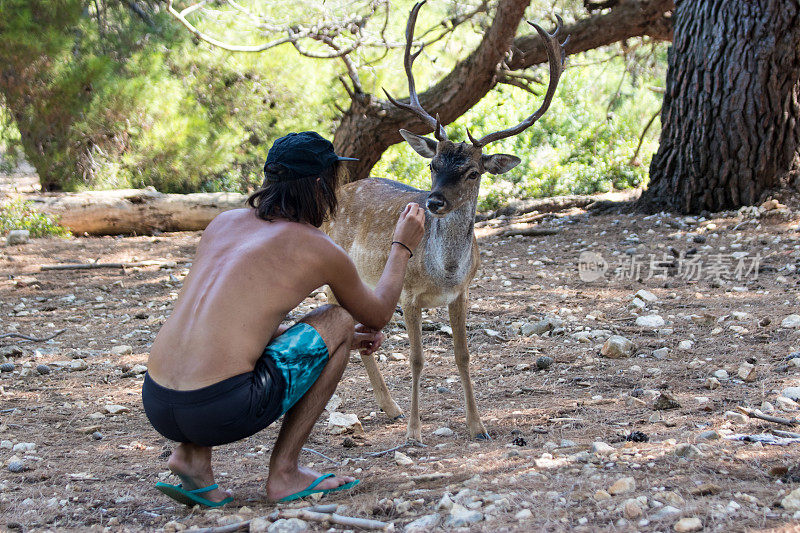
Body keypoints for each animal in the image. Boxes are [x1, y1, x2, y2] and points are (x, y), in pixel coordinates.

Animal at [322, 0, 564, 440]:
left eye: (472, 172)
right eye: (433, 165)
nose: (433, 201)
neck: (444, 271)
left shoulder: (464, 293)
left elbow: (463, 355)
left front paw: (477, 425)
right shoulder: (407, 295)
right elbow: (417, 359)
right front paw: (414, 432)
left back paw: (390, 408)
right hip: (338, 276)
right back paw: (391, 410)